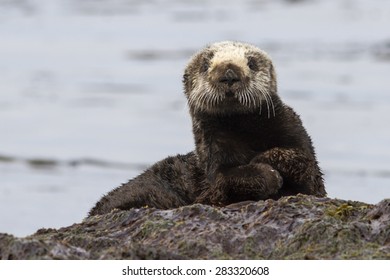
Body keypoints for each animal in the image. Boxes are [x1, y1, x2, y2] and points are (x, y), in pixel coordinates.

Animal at [89, 41, 326, 215]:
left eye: (251, 63)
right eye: (205, 65)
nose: (229, 74)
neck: (243, 130)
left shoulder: (296, 135)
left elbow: (302, 162)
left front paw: (266, 159)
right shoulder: (213, 159)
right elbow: (225, 181)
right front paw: (269, 174)